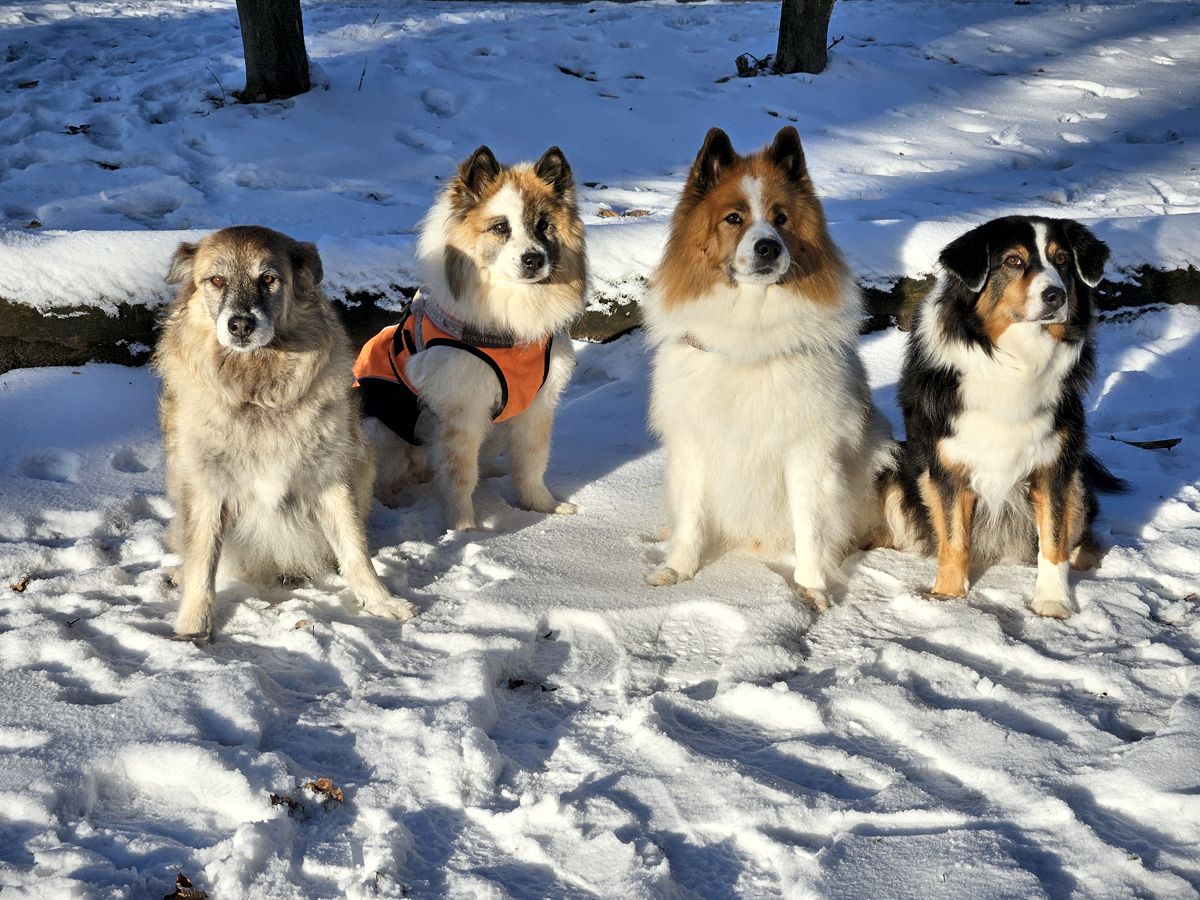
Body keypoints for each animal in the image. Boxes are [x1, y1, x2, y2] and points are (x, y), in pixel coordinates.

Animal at [154, 224, 417, 643]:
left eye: (269, 279)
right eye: (216, 281)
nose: (240, 325)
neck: (258, 392)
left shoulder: (331, 477)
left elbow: (354, 548)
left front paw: (379, 601)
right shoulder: (206, 486)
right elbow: (202, 561)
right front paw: (194, 626)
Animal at [350, 144, 585, 532]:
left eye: (543, 225)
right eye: (501, 227)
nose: (533, 260)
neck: (509, 325)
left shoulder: (535, 407)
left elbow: (531, 465)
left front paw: (541, 508)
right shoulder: (463, 411)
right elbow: (460, 475)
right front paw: (464, 529)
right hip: (375, 428)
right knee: (379, 480)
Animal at [648, 127, 892, 609]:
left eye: (781, 219)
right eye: (733, 218)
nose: (768, 247)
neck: (749, 335)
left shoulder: (808, 453)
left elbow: (811, 528)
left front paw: (812, 587)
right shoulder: (694, 444)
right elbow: (690, 514)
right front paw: (679, 569)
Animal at [883, 217, 1123, 619]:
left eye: (1062, 259)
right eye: (1012, 260)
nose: (1056, 296)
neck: (1014, 359)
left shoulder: (1054, 464)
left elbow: (1053, 540)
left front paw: (1052, 602)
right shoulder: (947, 467)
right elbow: (954, 539)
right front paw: (948, 597)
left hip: (1077, 483)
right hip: (900, 482)